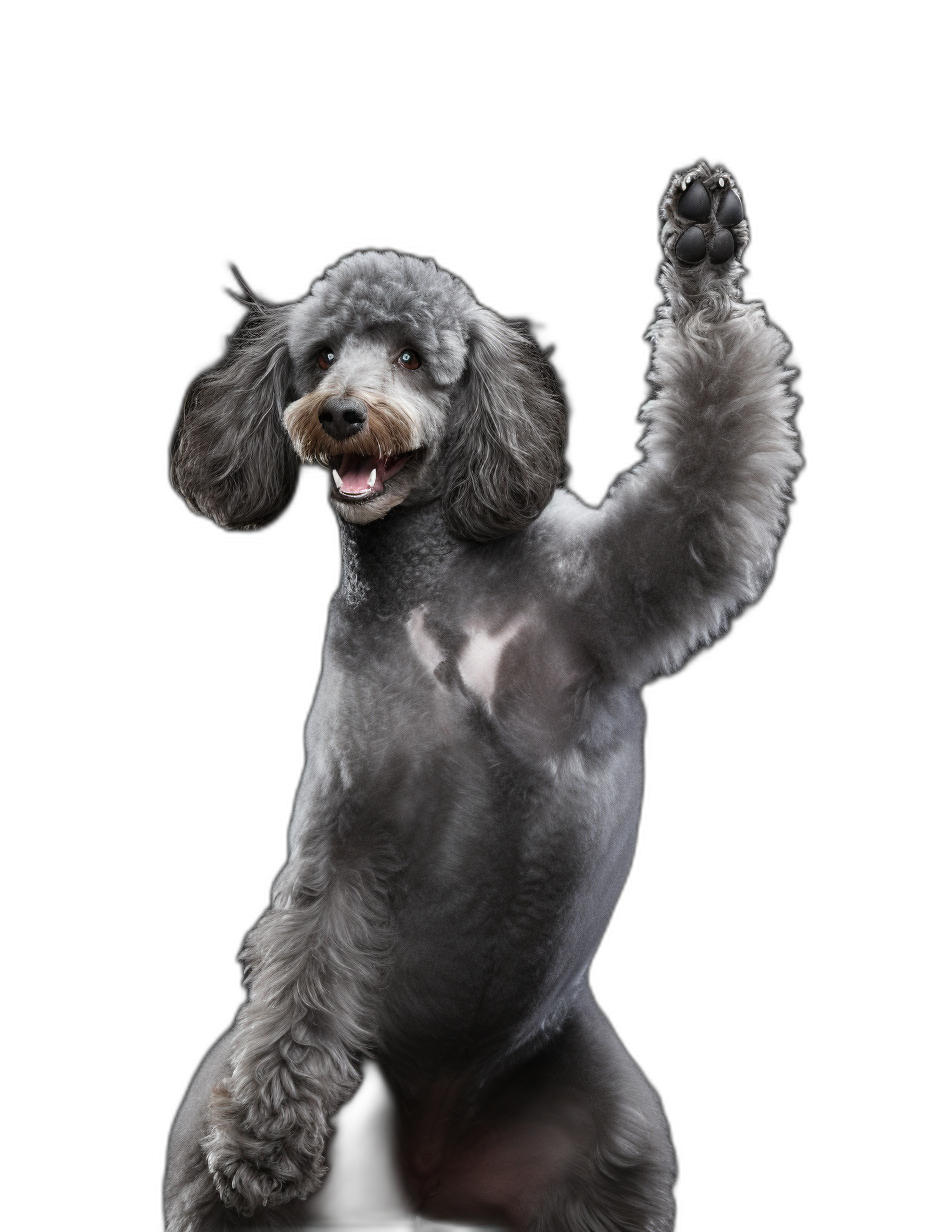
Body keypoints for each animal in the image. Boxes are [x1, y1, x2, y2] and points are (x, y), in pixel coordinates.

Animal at [165, 166, 798, 1232]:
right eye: (320, 355)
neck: (442, 587)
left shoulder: (645, 571)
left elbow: (707, 468)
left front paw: (703, 248)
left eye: (414, 357)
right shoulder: (344, 820)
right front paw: (262, 1142)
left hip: (613, 1146)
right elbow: (304, 958)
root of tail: (428, 1177)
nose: (340, 412)